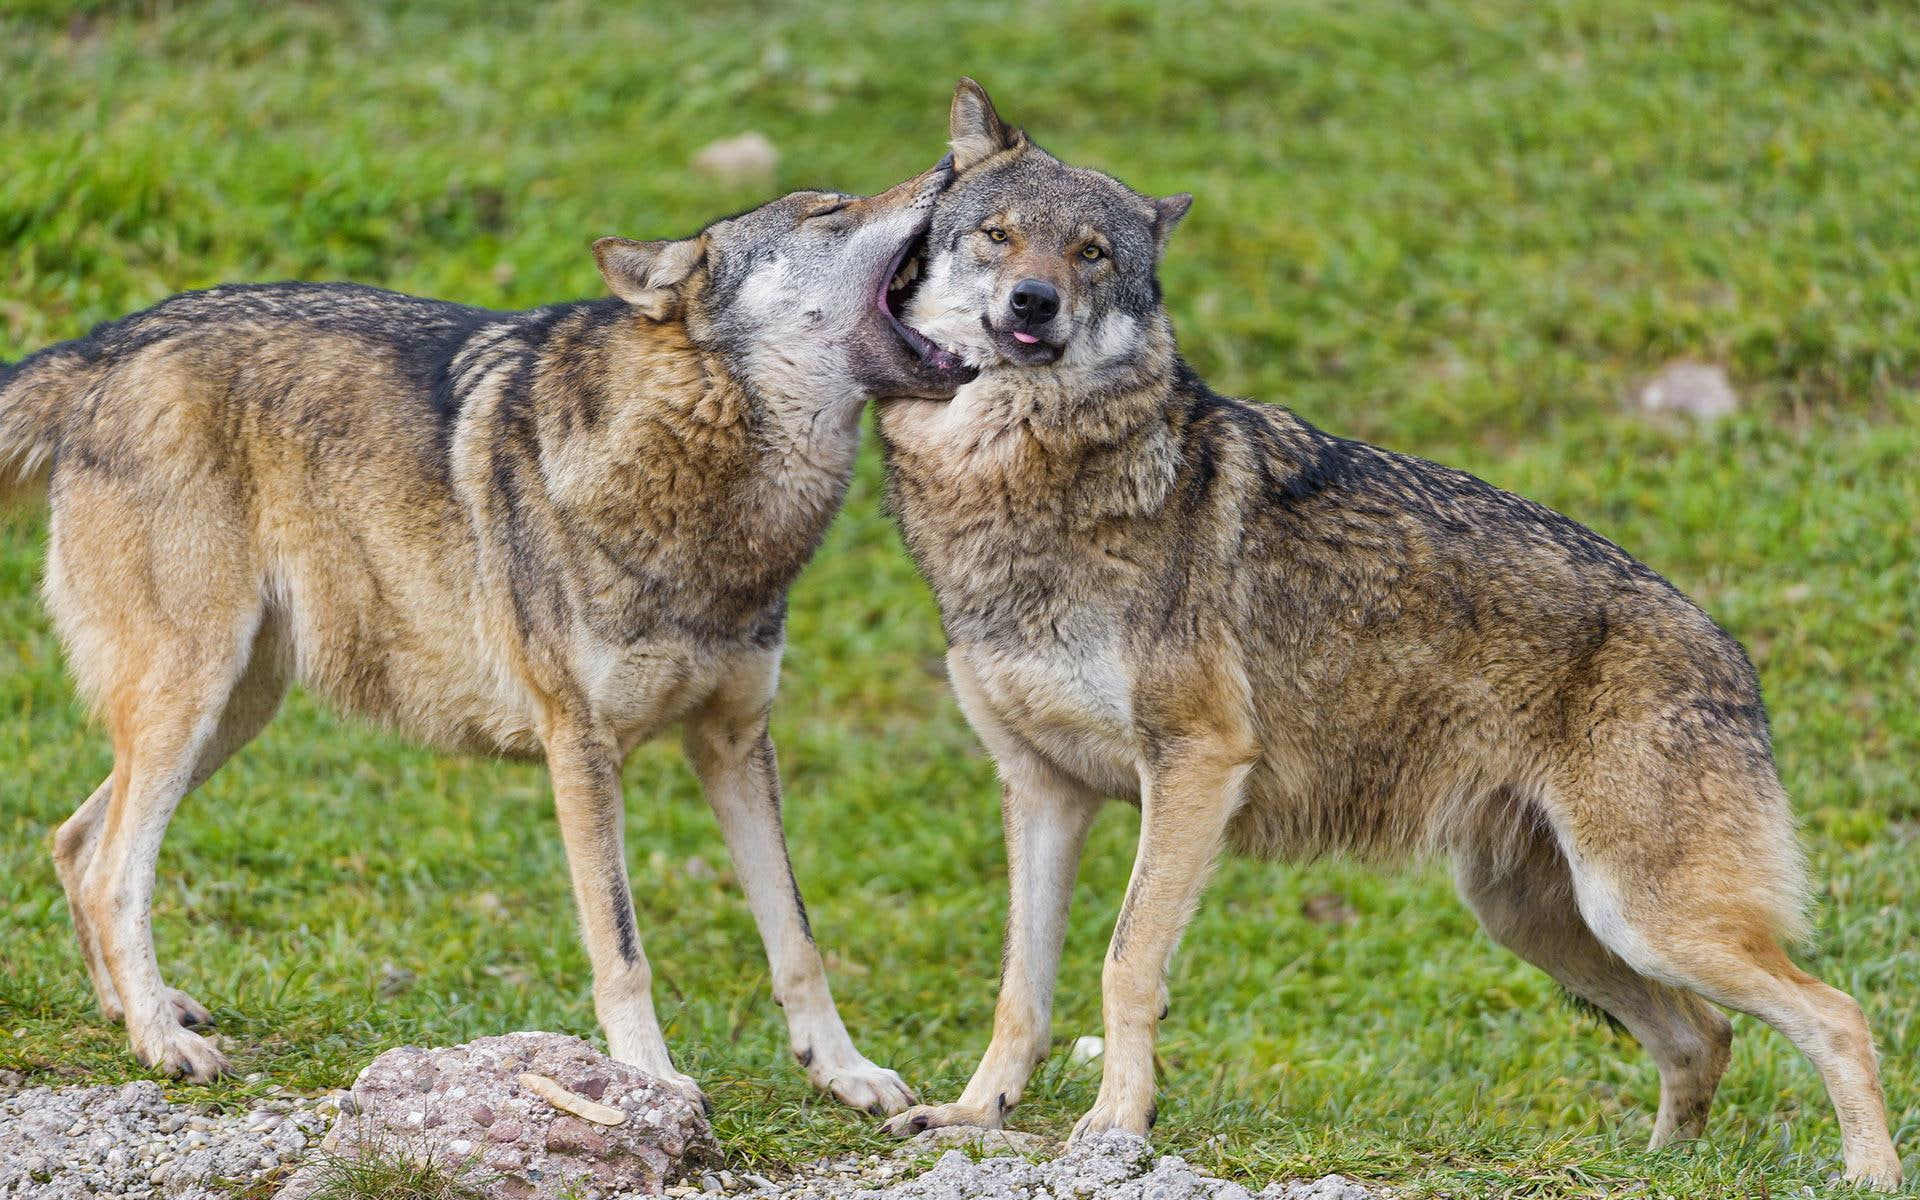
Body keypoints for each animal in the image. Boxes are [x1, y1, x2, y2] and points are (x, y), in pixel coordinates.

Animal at [0, 161, 972, 1112]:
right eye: (829, 213)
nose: (951, 165)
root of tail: (108, 343)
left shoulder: (734, 741)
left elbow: (798, 940)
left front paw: (845, 1071)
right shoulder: (580, 748)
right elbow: (623, 947)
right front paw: (650, 1079)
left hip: (234, 712)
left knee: (74, 842)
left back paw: (140, 1012)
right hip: (193, 700)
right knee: (115, 871)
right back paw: (163, 1044)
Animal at [872, 80, 1900, 1187]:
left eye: (1092, 254)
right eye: (999, 236)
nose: (1034, 302)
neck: (1015, 486)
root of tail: (1736, 657)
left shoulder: (1194, 765)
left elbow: (1125, 963)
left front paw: (1116, 1126)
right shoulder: (1042, 790)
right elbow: (1020, 987)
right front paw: (972, 1112)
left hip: (1641, 917)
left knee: (1836, 1014)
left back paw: (1870, 1174)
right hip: (1543, 919)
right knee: (1703, 1036)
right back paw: (1656, 1173)